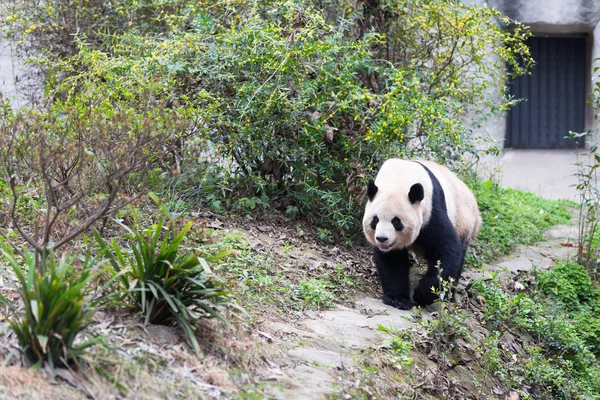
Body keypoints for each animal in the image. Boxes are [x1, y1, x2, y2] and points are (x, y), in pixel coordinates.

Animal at [360, 159, 482, 310]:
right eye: (375, 220)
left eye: (396, 221)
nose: (382, 239)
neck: (398, 178)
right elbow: (392, 261)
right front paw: (398, 299)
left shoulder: (431, 210)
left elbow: (446, 250)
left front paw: (422, 295)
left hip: (463, 220)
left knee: (459, 257)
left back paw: (449, 294)